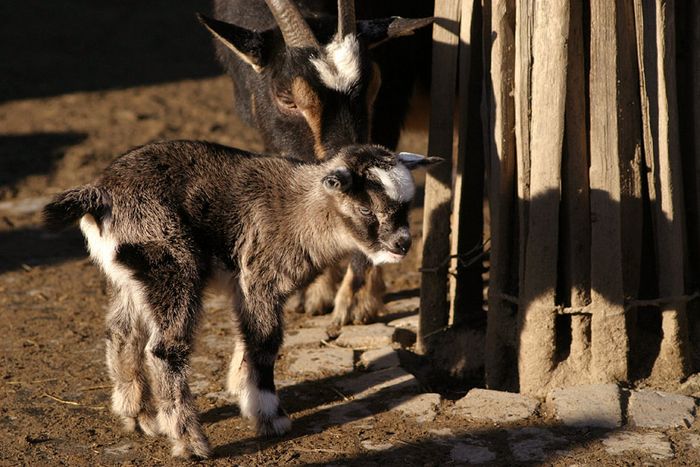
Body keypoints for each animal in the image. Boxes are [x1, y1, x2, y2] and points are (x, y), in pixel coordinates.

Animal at [42, 141, 438, 458]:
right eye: (367, 209)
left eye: (406, 207)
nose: (402, 244)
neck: (300, 211)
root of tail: (101, 194)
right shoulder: (262, 276)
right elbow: (265, 341)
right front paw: (268, 415)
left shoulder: (244, 286)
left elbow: (247, 335)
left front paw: (239, 386)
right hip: (170, 260)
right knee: (164, 350)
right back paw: (190, 443)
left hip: (132, 279)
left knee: (123, 335)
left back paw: (137, 417)